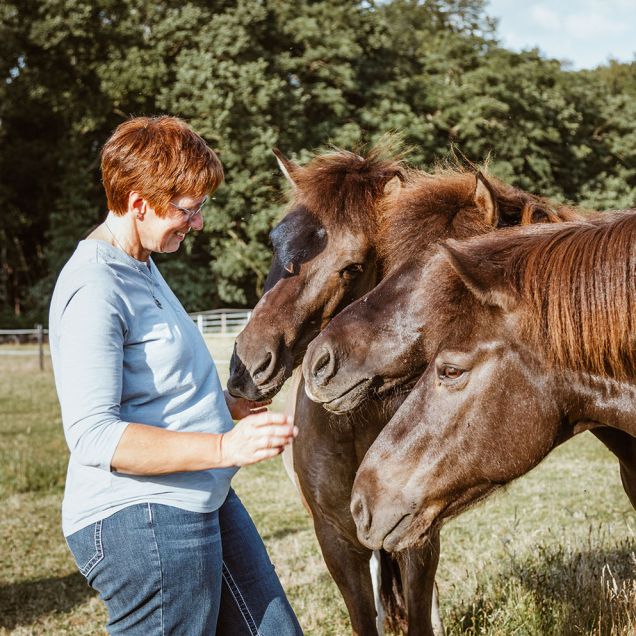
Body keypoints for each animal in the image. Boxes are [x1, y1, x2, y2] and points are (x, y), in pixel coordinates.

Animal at [226, 140, 572, 636]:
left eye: (353, 267)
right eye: (275, 243)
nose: (249, 365)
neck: (355, 431)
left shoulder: (415, 536)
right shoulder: (336, 541)